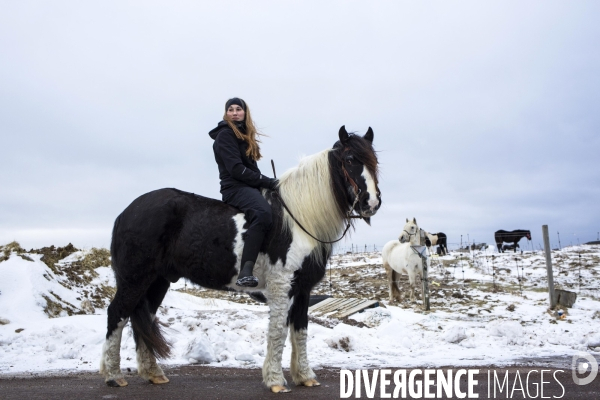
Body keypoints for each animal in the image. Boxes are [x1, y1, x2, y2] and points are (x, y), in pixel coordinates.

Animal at [98, 126, 380, 392]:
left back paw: (153, 374)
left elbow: (300, 332)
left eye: (374, 160)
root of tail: (127, 212)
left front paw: (305, 377)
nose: (372, 203)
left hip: (157, 282)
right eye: (350, 159)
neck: (298, 219)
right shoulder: (281, 286)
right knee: (118, 315)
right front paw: (275, 380)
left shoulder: (302, 290)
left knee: (143, 320)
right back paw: (113, 376)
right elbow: (278, 331)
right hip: (135, 280)